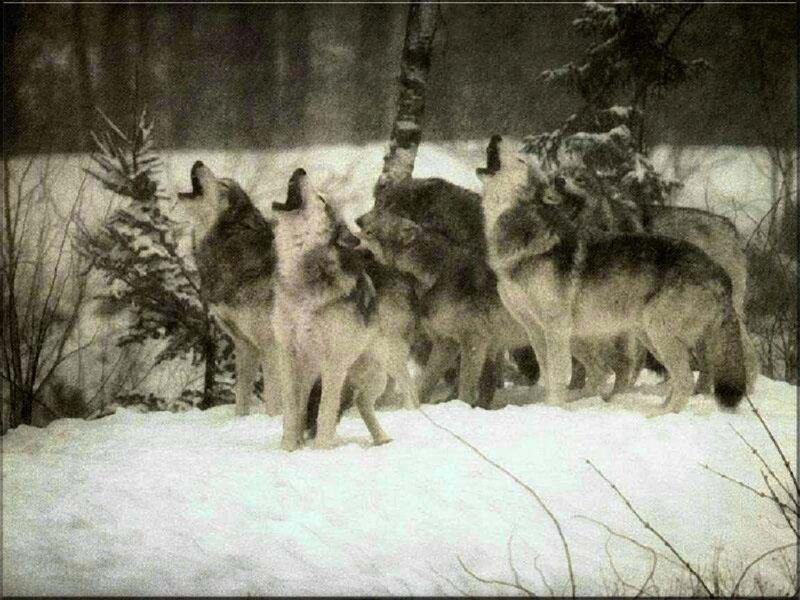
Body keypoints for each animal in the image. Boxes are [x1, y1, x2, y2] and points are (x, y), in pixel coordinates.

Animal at [271, 168, 419, 450]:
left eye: (321, 199)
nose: (300, 170)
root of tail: (394, 271)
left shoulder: (333, 363)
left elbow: (325, 412)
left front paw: (320, 450)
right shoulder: (289, 357)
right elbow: (292, 412)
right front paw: (288, 449)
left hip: (385, 367)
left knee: (408, 394)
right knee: (361, 403)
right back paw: (380, 439)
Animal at [477, 135, 748, 414]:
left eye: (520, 159)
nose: (496, 137)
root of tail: (720, 273)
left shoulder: (556, 328)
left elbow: (558, 376)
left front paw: (555, 409)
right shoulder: (535, 330)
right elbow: (549, 375)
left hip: (658, 333)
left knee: (684, 380)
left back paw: (657, 415)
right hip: (649, 338)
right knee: (676, 378)